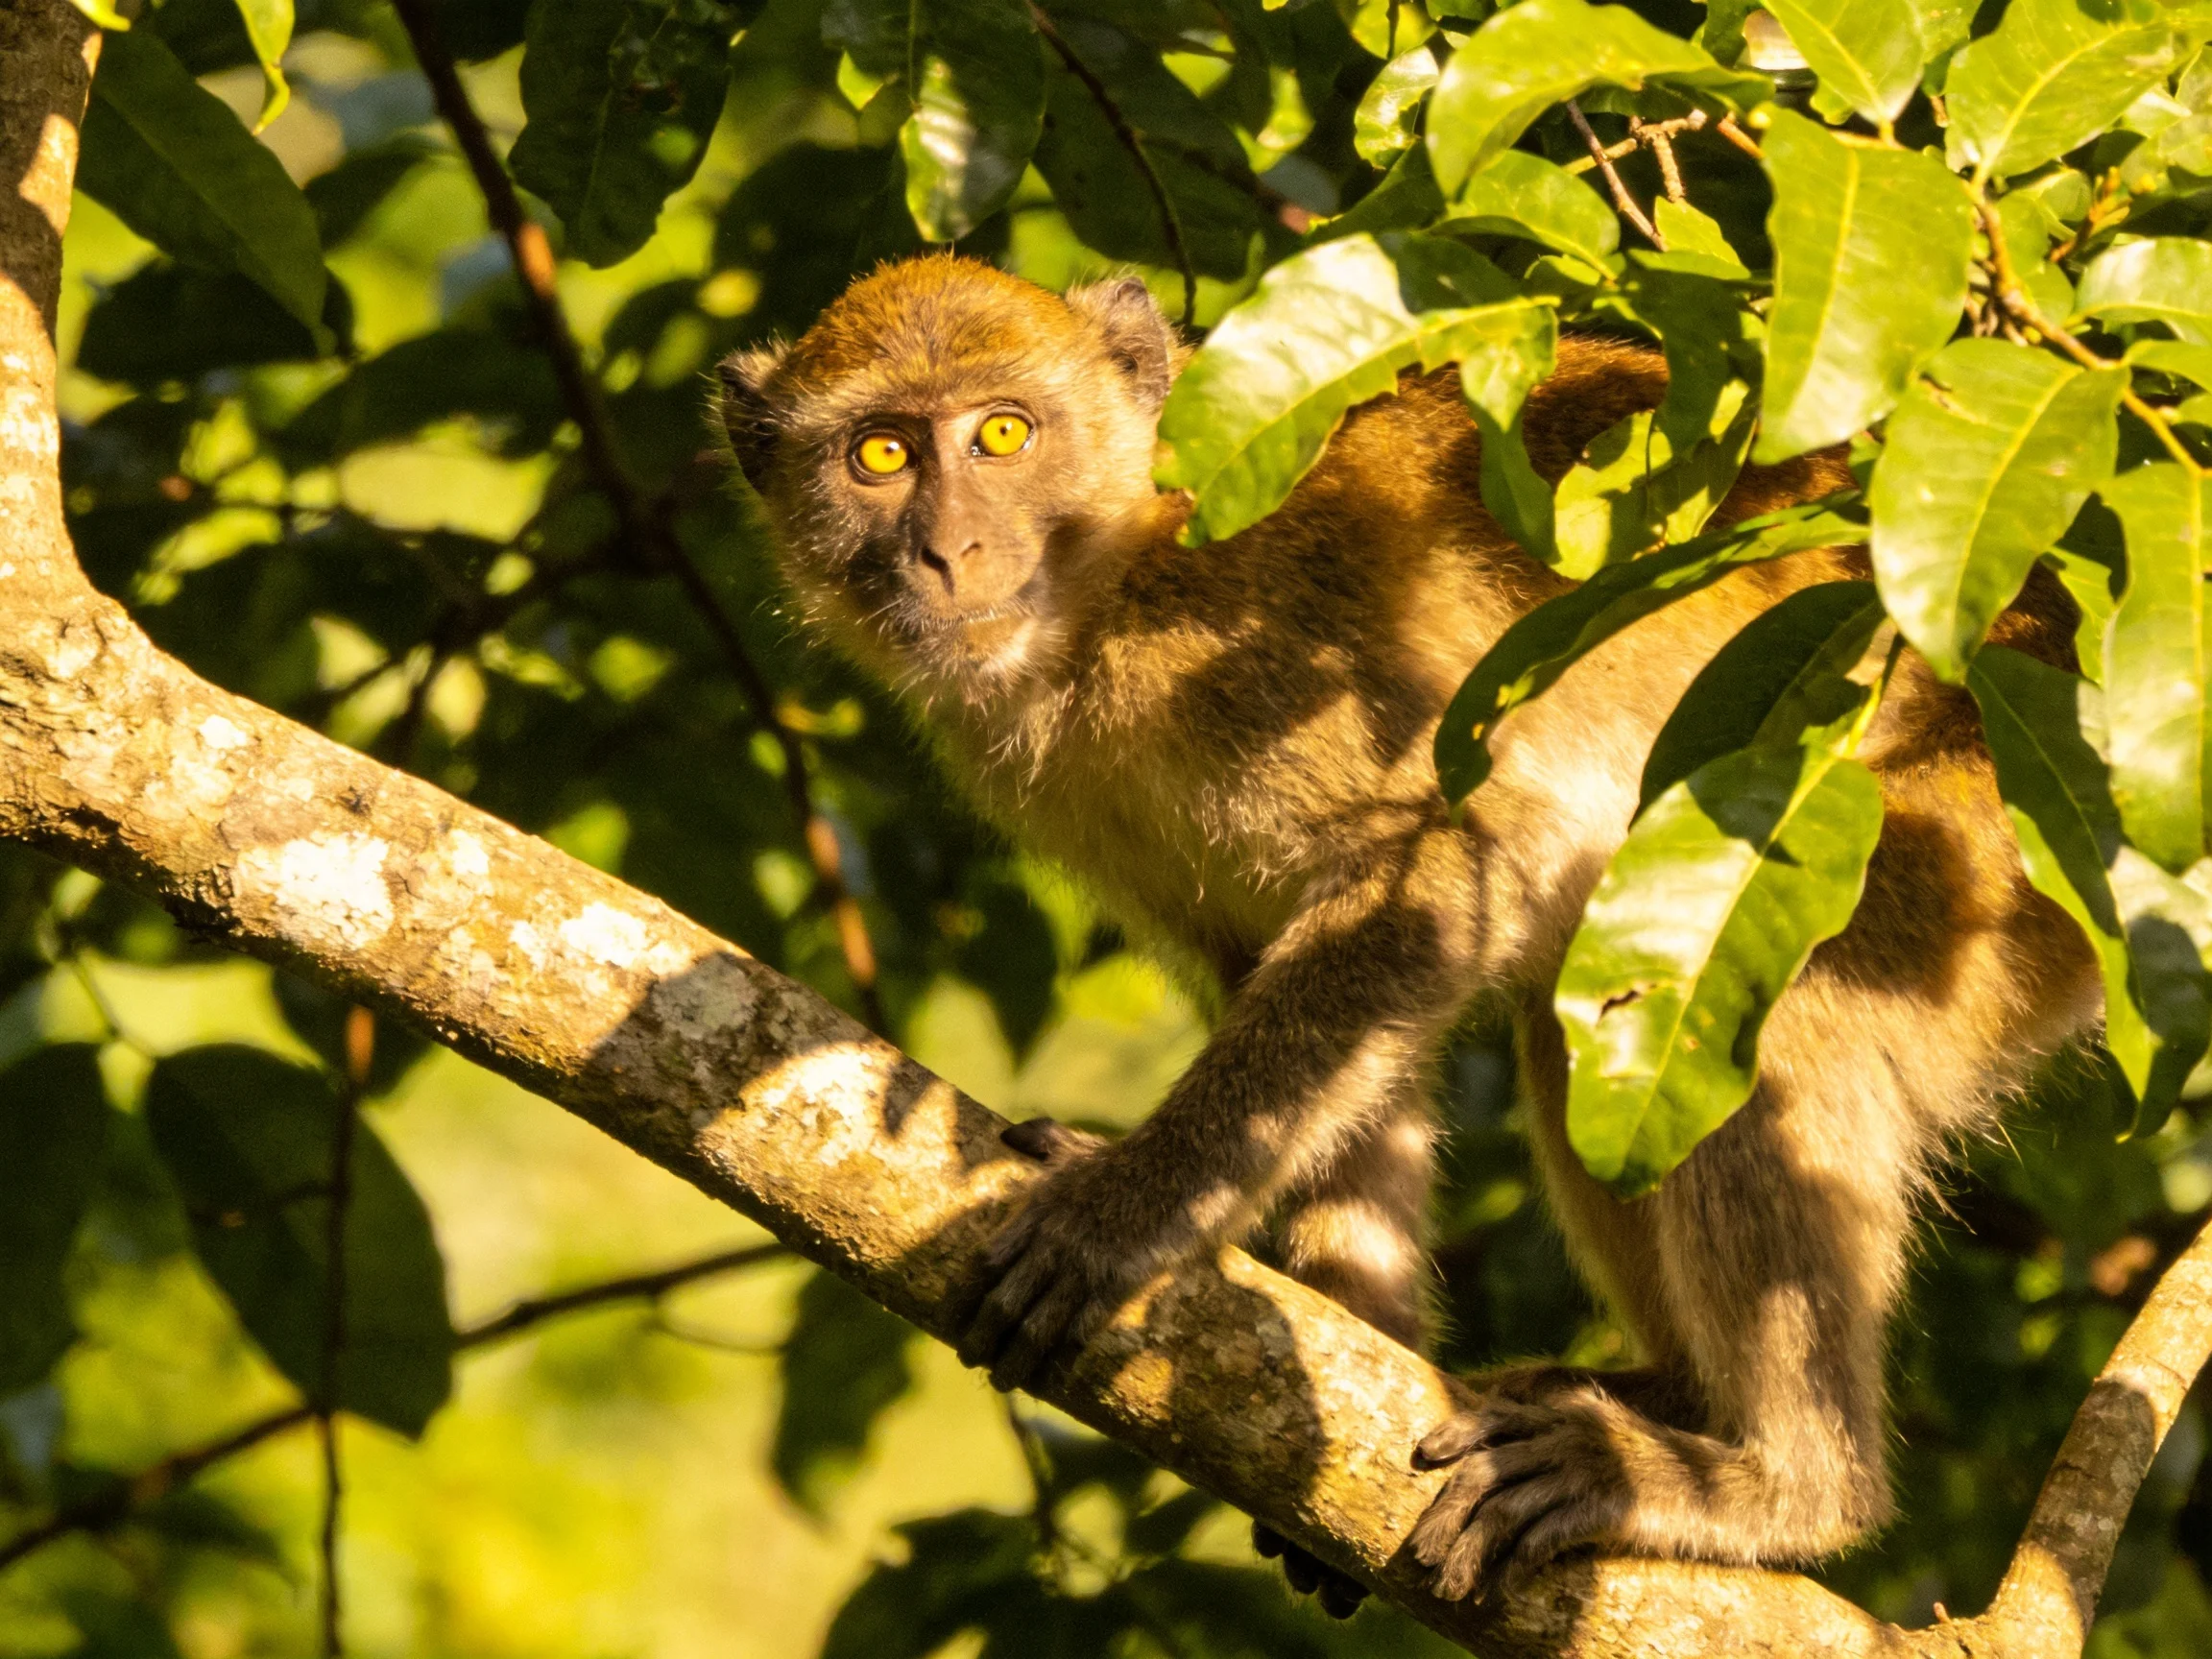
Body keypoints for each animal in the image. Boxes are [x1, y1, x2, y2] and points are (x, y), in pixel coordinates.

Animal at [715, 254, 2100, 1610]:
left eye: (1003, 433)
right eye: (881, 454)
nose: (948, 551)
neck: (1116, 582)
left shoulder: (1262, 640)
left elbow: (1459, 869)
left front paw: (1124, 1213)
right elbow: (1302, 1003)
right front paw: (1354, 1320)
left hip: (1971, 851)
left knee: (1766, 1022)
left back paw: (1778, 1488)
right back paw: (1669, 1399)